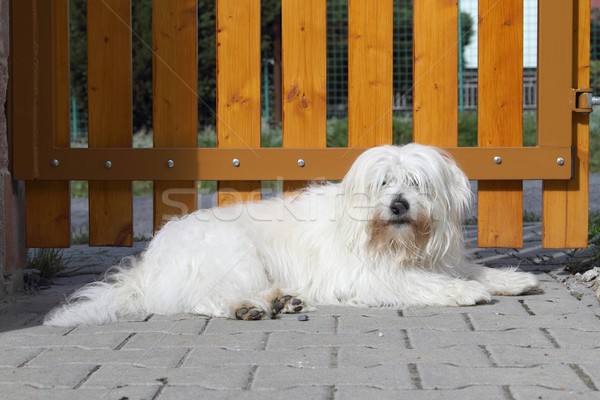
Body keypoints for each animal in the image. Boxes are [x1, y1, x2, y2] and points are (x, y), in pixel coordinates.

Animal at [44, 145, 536, 326]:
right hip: (233, 254)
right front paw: (464, 292)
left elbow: (472, 269)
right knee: (204, 298)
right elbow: (424, 282)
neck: (396, 242)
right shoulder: (370, 276)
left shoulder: (437, 258)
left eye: (417, 184)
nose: (398, 205)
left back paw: (284, 299)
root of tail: (148, 264)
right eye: (383, 183)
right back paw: (249, 307)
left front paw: (511, 279)